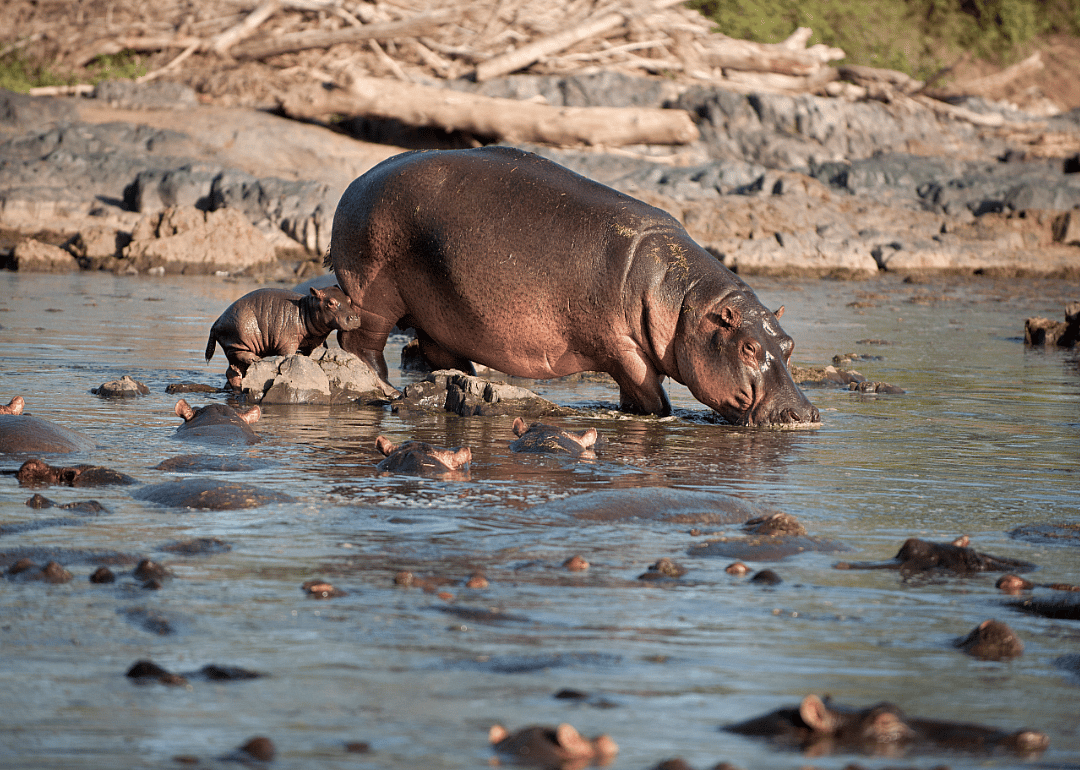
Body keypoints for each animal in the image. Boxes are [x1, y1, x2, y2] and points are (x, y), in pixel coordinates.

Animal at [205, 286, 363, 389]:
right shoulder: (288, 342)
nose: (354, 317)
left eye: (349, 299)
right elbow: (288, 354)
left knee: (232, 372)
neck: (306, 310)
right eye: (330, 302)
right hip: (240, 340)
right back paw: (256, 359)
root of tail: (217, 321)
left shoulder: (317, 341)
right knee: (239, 355)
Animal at [326, 146, 819, 425]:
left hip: (439, 314)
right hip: (372, 293)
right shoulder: (623, 350)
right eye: (748, 348)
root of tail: (356, 181)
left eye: (789, 344)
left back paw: (463, 381)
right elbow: (654, 401)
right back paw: (383, 386)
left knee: (439, 353)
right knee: (363, 344)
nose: (806, 413)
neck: (687, 307)